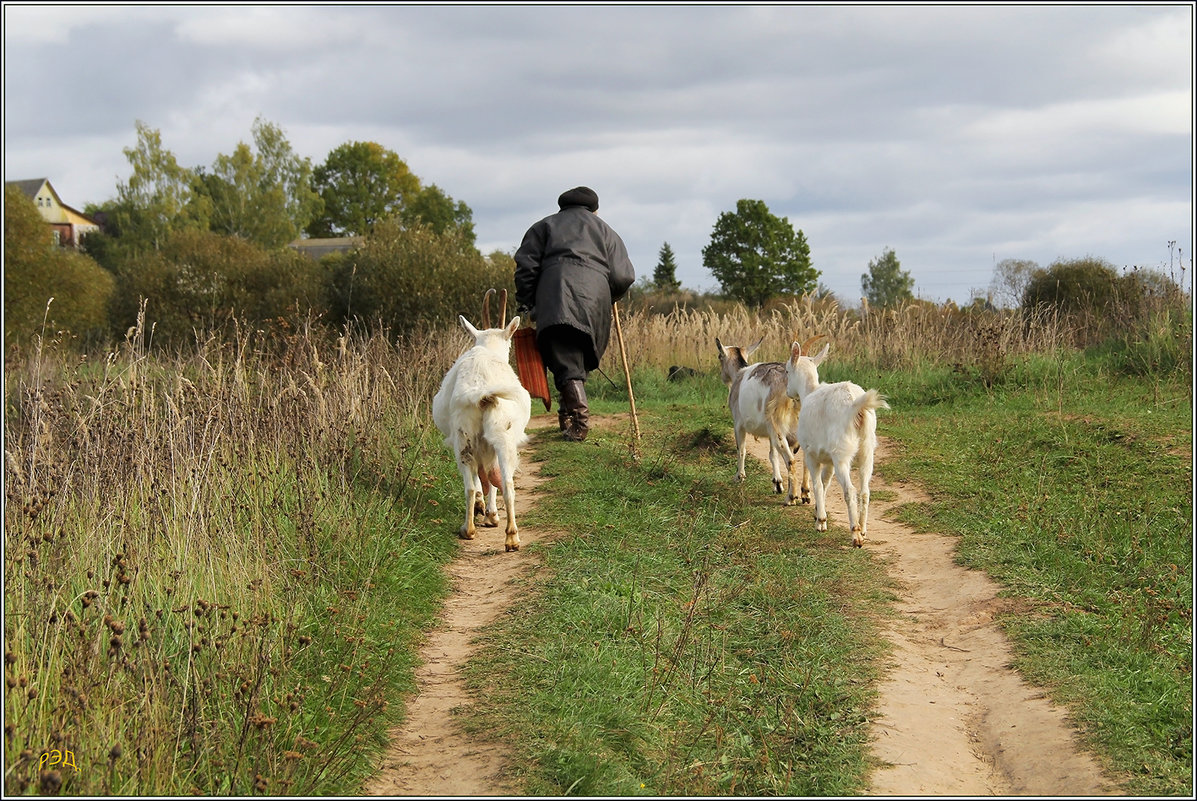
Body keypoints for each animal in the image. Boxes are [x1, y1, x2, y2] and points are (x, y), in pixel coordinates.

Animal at [428, 287, 526, 550]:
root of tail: (482, 390)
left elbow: (482, 477)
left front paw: (487, 511)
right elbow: (489, 476)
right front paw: (491, 514)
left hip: (464, 436)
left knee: (471, 484)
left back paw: (469, 528)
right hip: (502, 434)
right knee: (506, 482)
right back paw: (511, 537)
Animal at [785, 337, 890, 550]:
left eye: (786, 370)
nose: (787, 391)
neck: (810, 391)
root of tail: (855, 405)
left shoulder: (812, 454)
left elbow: (817, 484)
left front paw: (821, 521)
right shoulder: (829, 461)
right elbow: (825, 483)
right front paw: (818, 513)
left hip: (841, 453)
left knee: (850, 490)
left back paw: (855, 535)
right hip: (867, 450)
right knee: (865, 490)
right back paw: (863, 529)